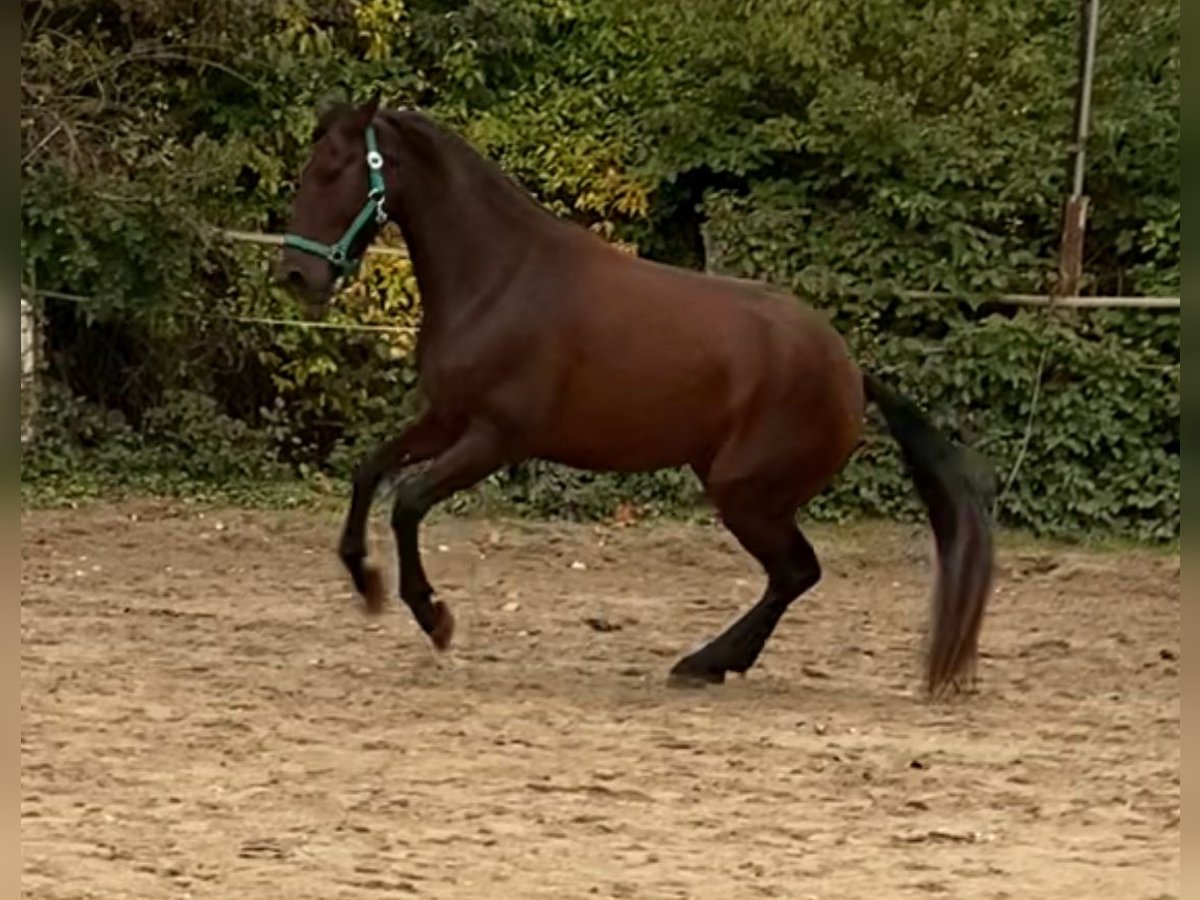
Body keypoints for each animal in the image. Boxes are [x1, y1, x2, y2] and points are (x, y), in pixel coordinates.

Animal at [274, 93, 993, 696]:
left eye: (334, 169)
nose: (298, 275)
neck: (500, 278)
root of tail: (849, 372)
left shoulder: (494, 438)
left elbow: (408, 503)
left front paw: (434, 617)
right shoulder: (447, 417)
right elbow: (369, 472)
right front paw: (364, 583)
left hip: (744, 493)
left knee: (796, 572)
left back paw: (704, 662)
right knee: (793, 575)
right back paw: (712, 662)